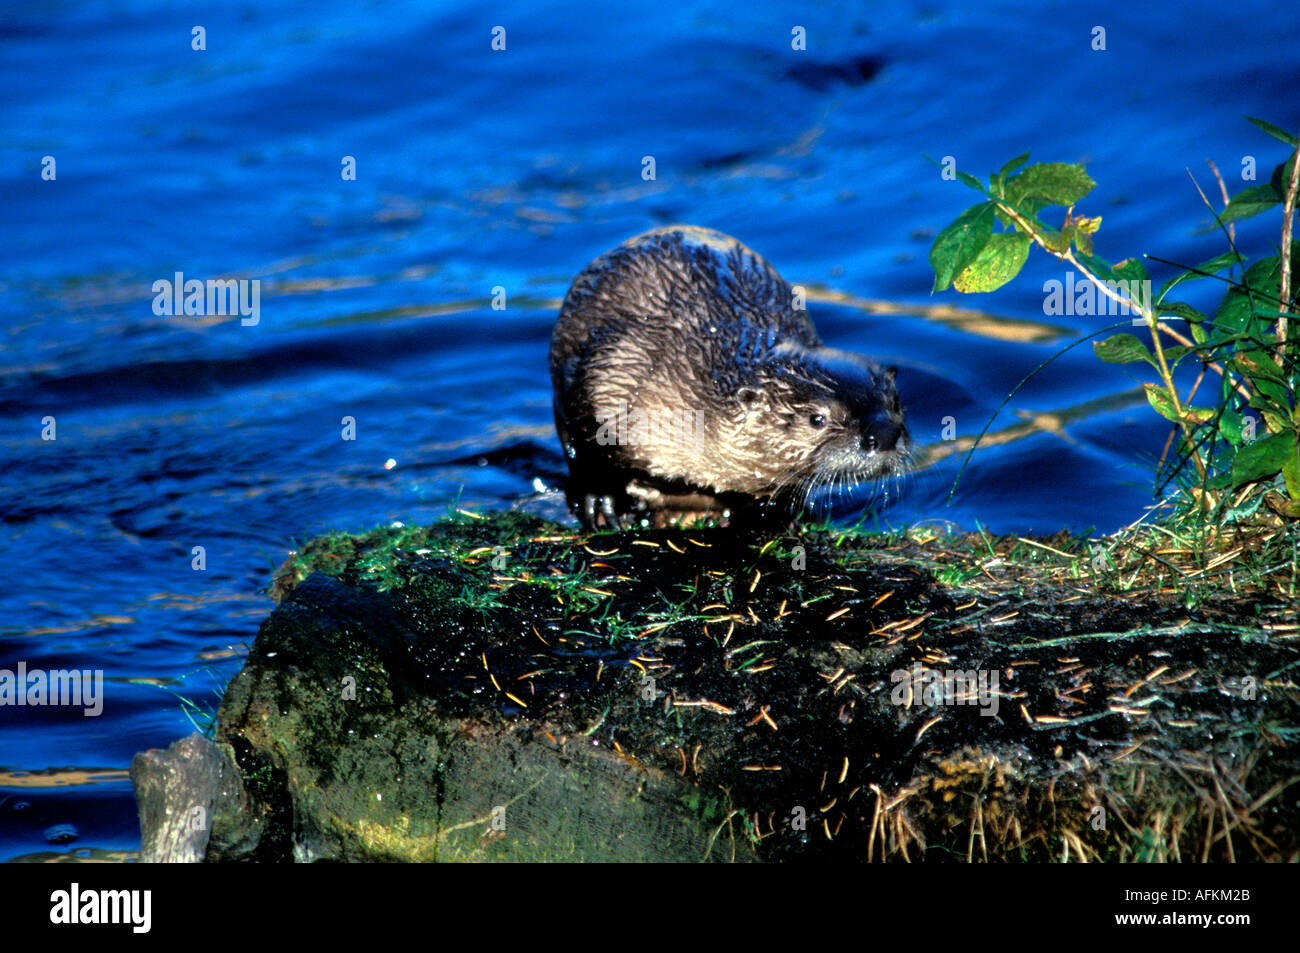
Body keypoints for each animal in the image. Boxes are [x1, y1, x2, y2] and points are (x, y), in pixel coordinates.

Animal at [549, 226, 909, 529]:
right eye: (817, 419)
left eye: (895, 403)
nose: (885, 434)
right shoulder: (613, 369)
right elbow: (588, 446)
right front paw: (599, 500)